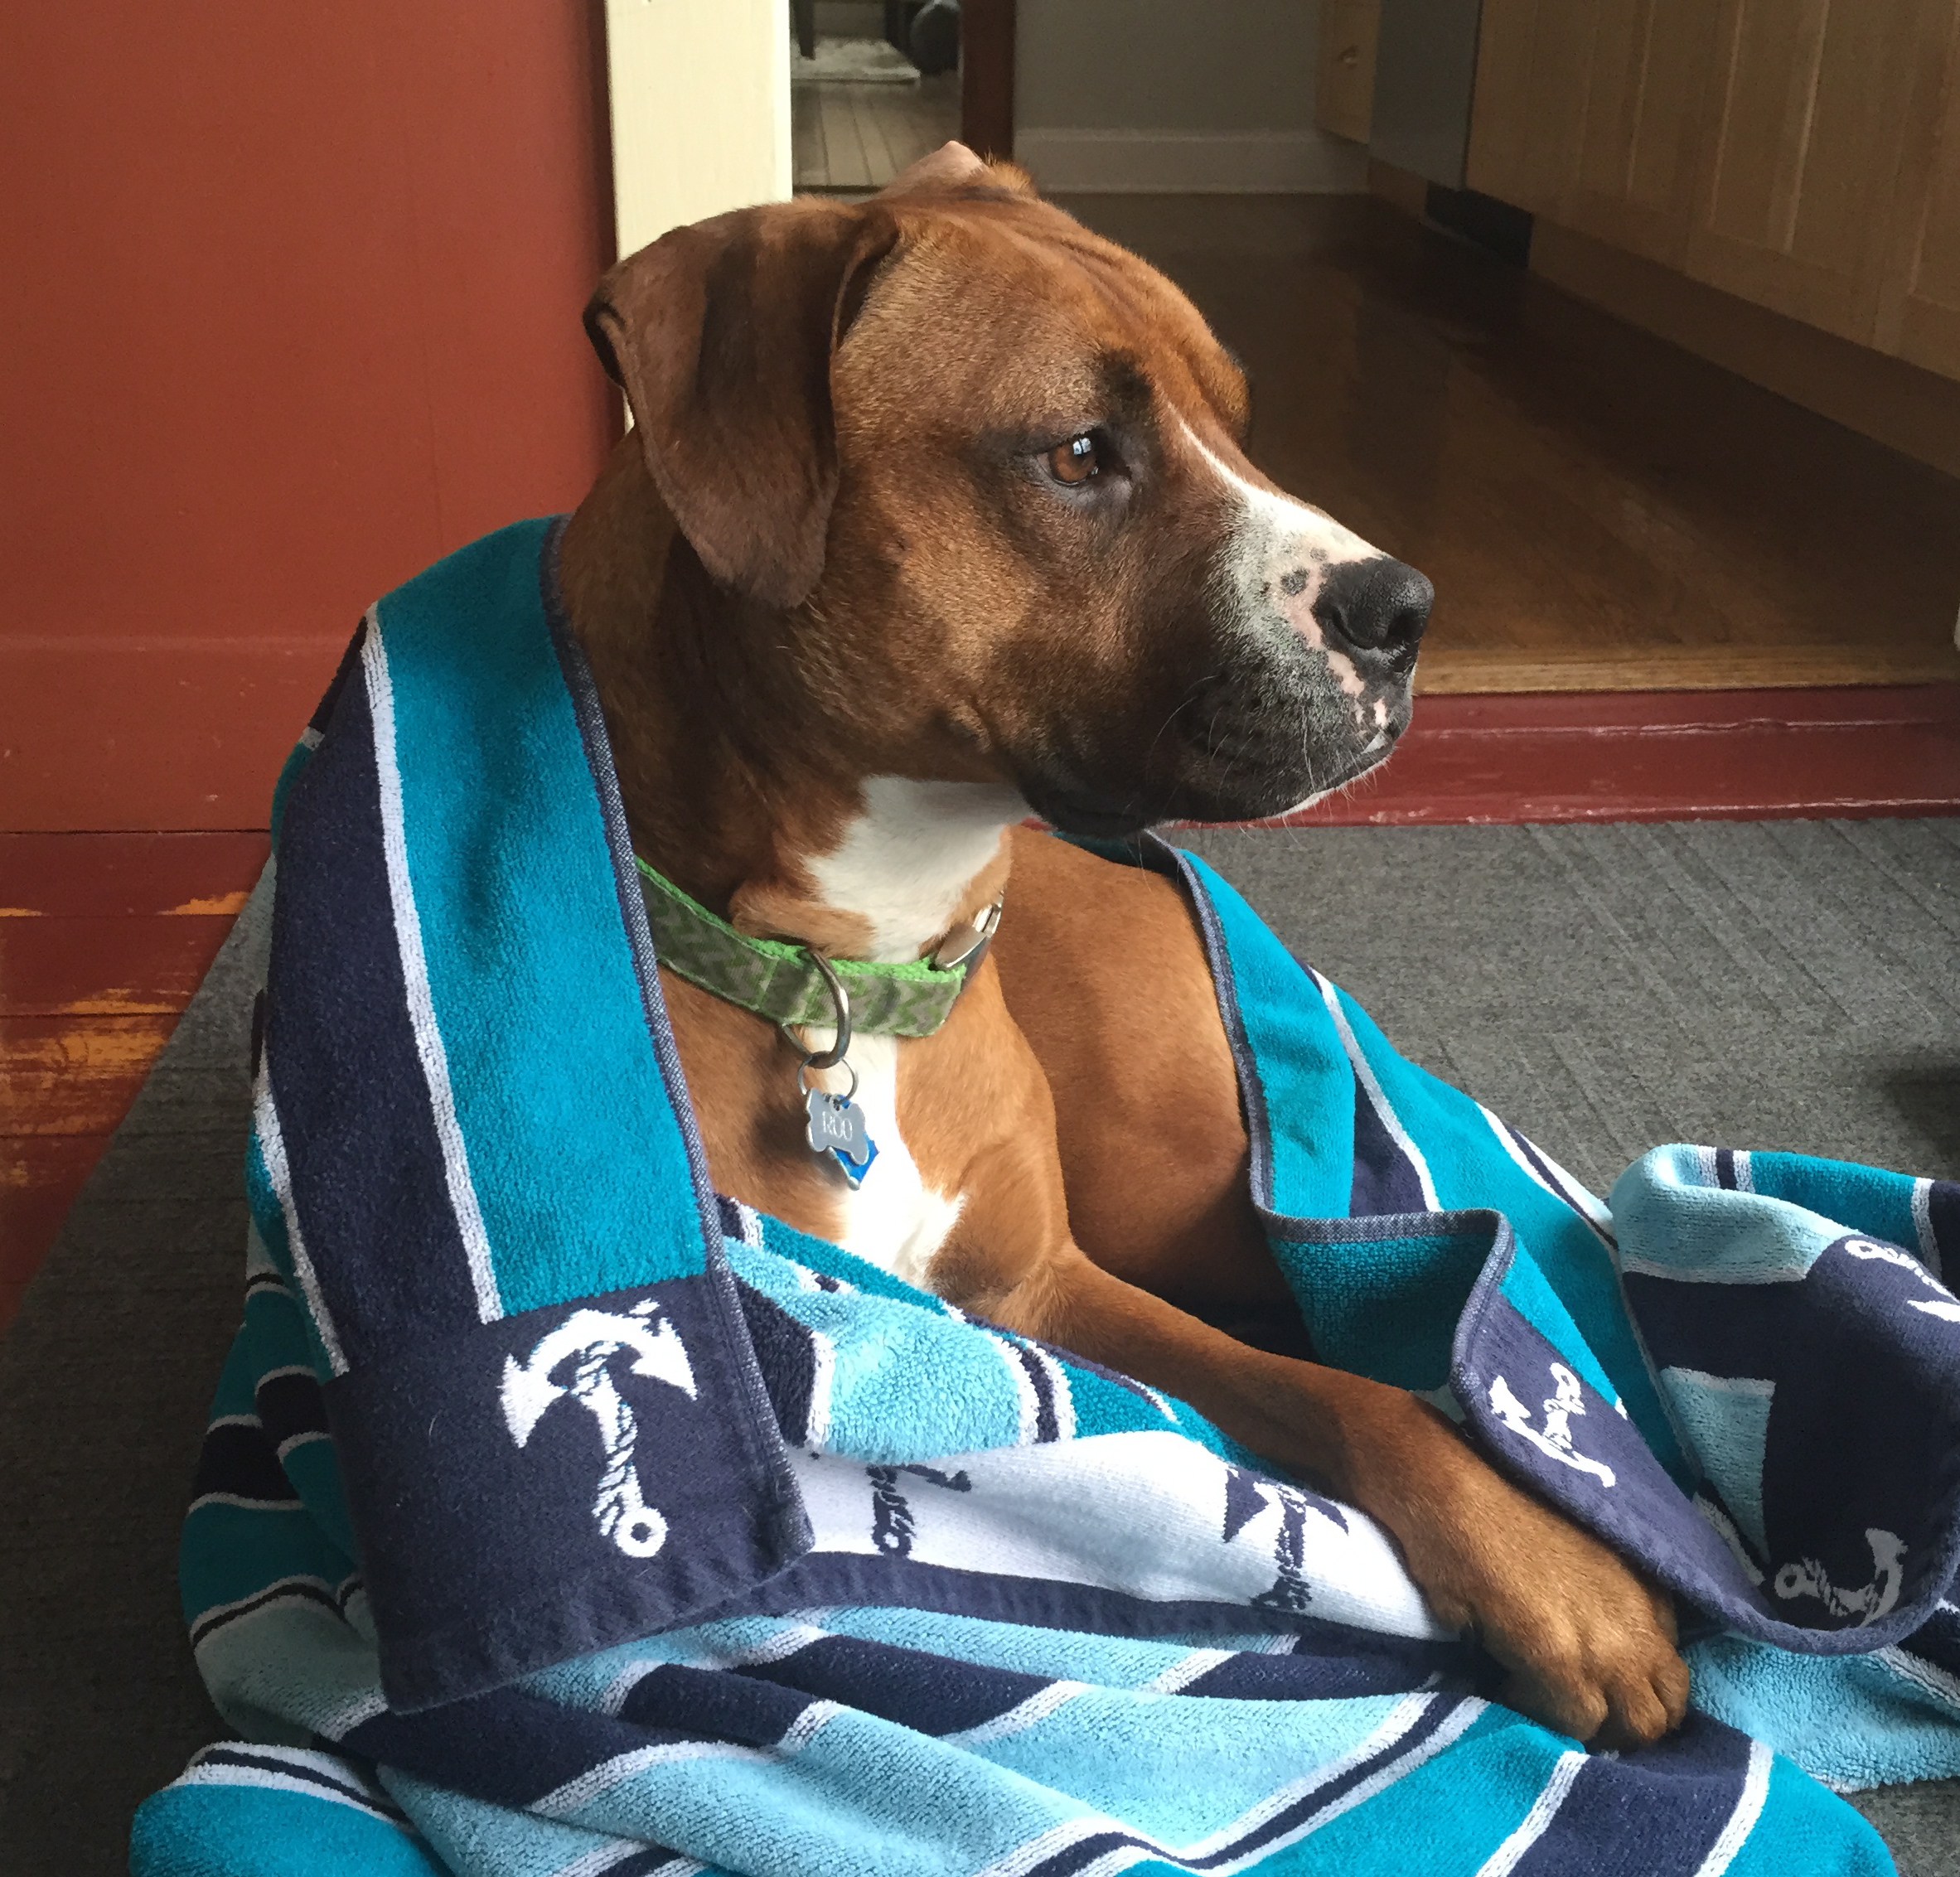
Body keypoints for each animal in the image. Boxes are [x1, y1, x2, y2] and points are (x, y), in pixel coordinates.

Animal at [556, 142, 1689, 1750]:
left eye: (1238, 420)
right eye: (1081, 455)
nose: (1405, 608)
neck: (851, 971)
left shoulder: (1050, 1287)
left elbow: (1349, 1393)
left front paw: (1552, 1558)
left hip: (1177, 1183)